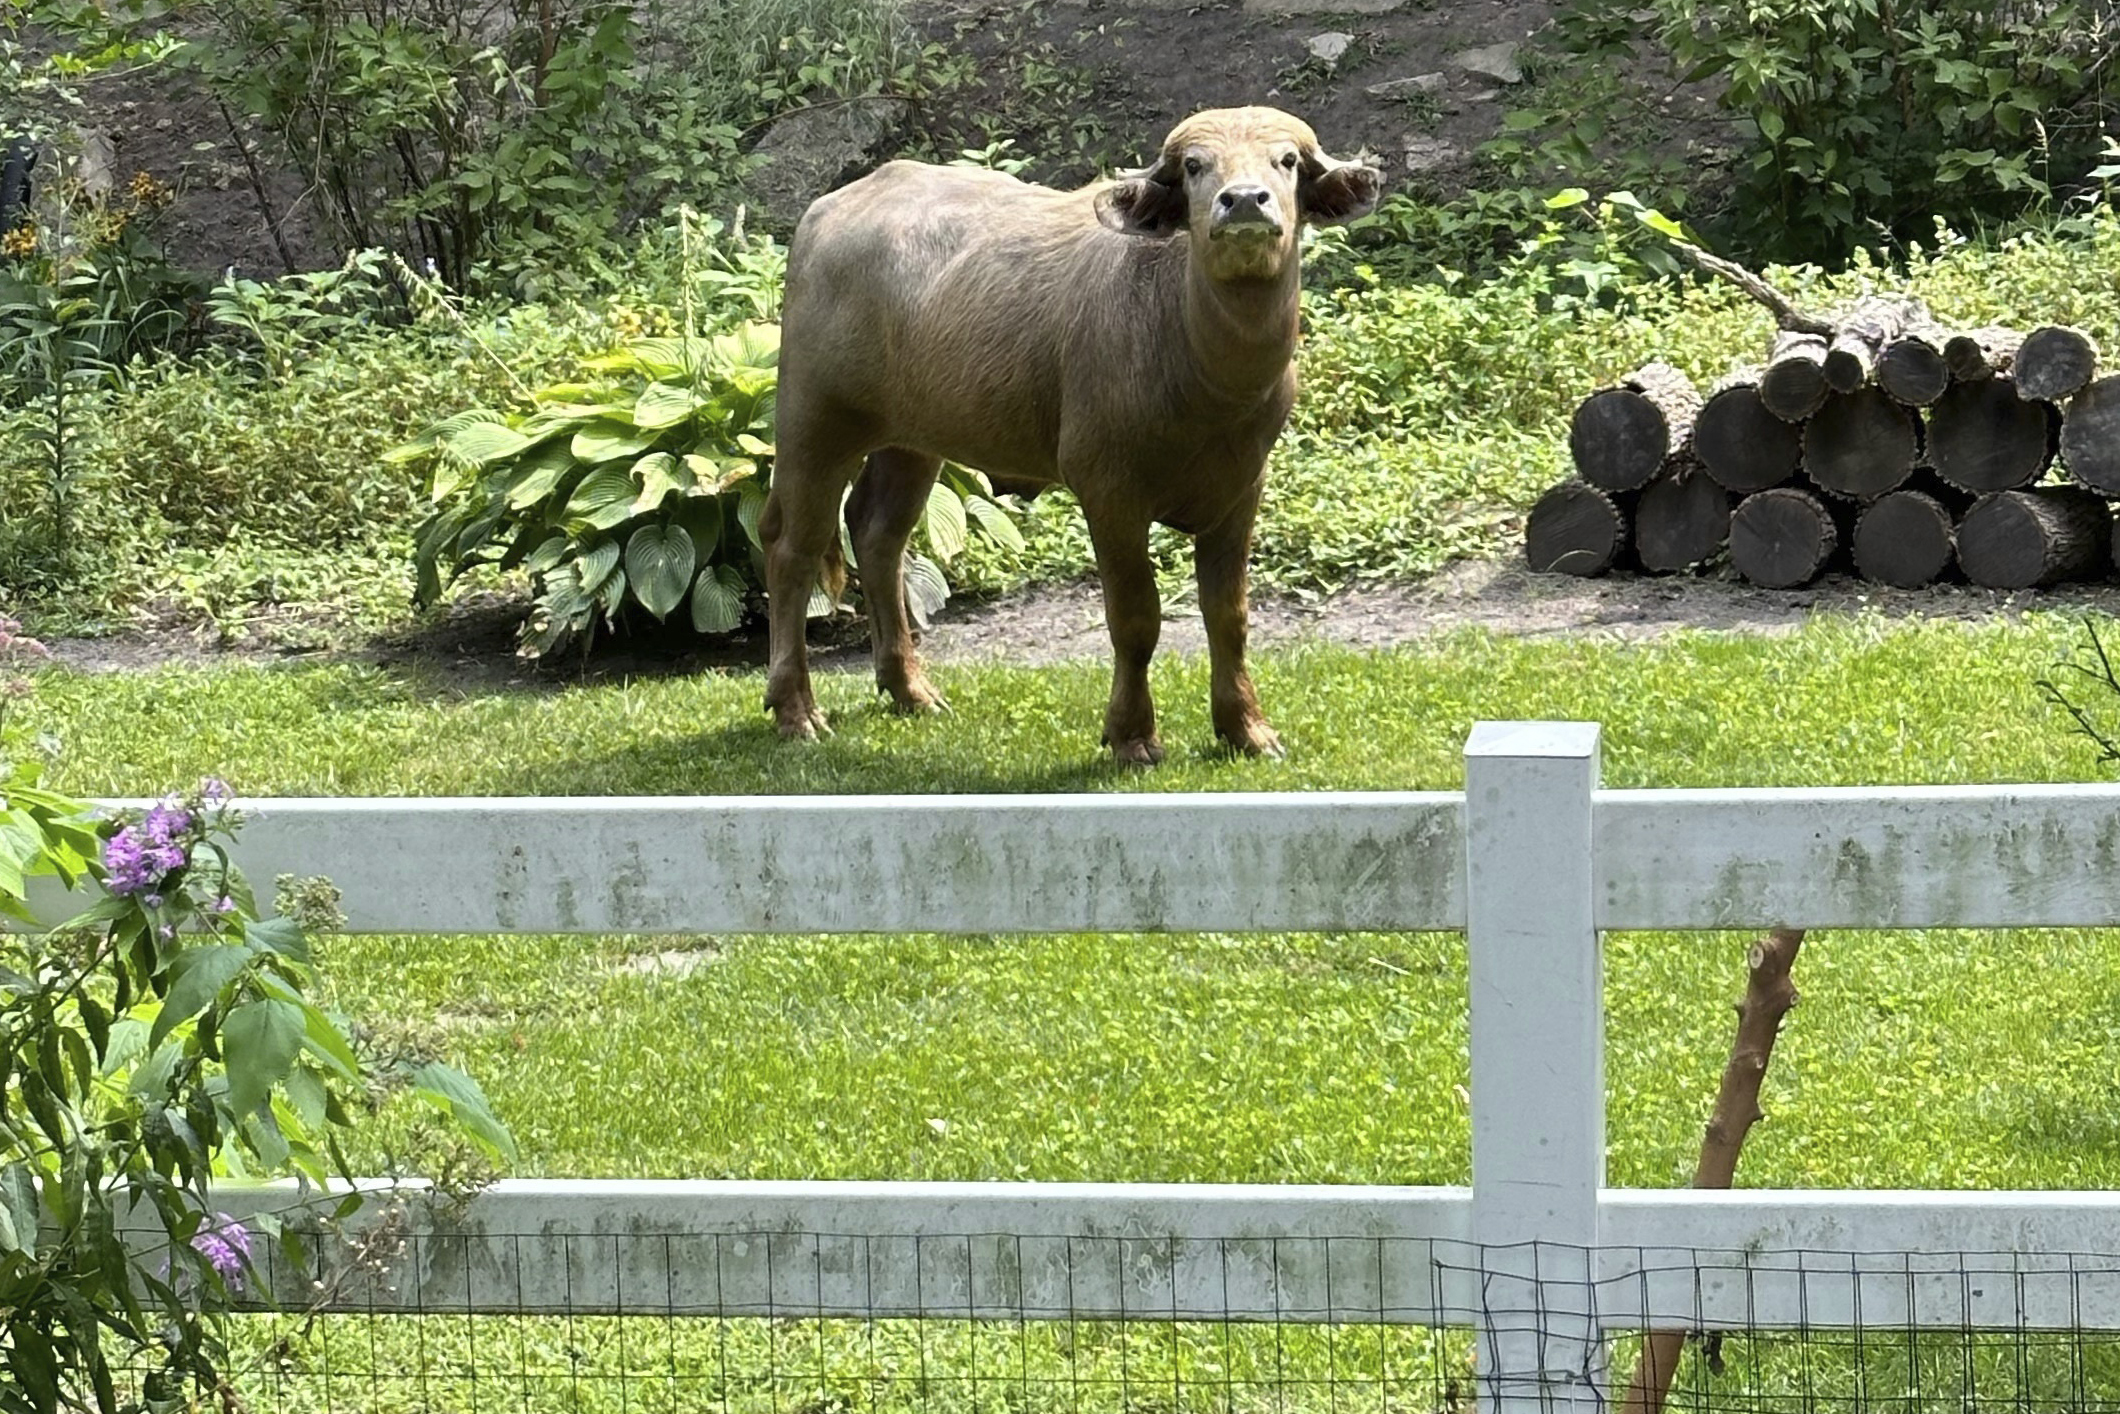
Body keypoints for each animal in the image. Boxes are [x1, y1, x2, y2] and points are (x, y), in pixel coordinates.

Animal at [754, 106, 1382, 763]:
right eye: (1194, 166)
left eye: (1286, 161)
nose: (1242, 201)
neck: (1202, 371)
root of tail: (825, 213)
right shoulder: (1109, 490)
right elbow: (1135, 618)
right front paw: (1132, 735)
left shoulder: (1241, 489)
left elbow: (1228, 616)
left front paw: (1246, 727)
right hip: (814, 419)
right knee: (792, 546)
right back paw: (796, 709)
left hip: (912, 438)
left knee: (878, 534)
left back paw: (910, 689)